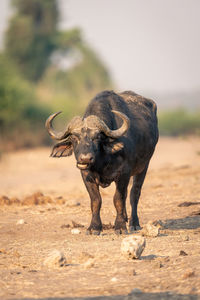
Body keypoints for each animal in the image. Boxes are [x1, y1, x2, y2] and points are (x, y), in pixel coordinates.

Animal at [45, 90, 159, 236]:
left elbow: (118, 199)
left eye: (97, 137)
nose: (85, 159)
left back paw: (134, 223)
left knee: (134, 193)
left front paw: (120, 226)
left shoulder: (124, 173)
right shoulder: (86, 176)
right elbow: (96, 200)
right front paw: (94, 227)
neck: (102, 161)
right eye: (74, 138)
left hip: (144, 166)